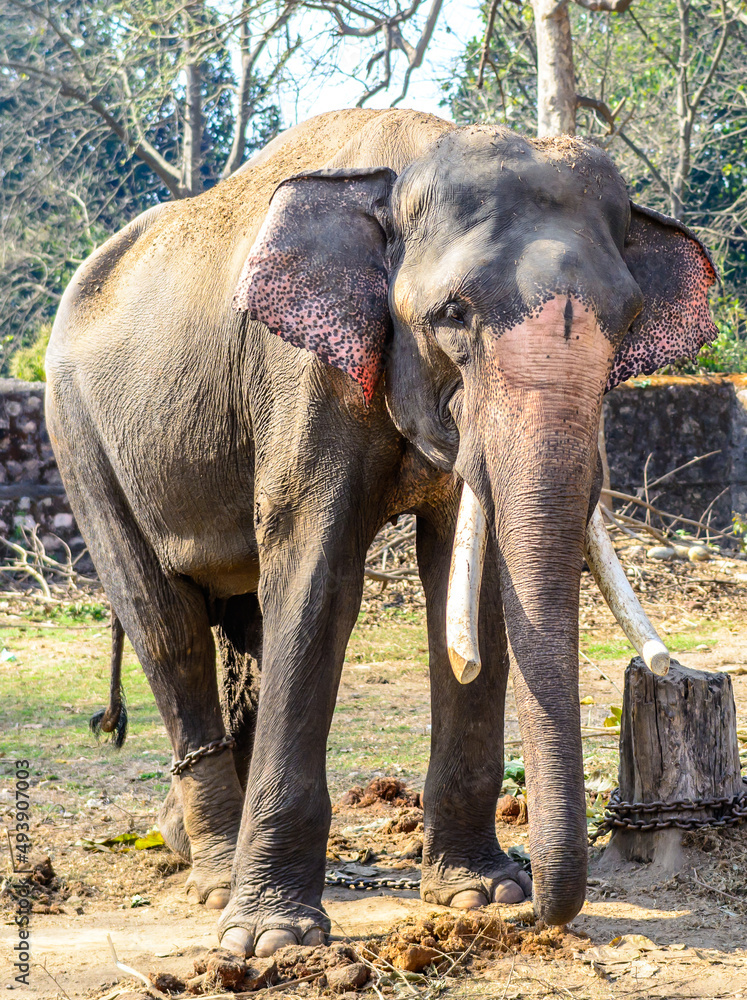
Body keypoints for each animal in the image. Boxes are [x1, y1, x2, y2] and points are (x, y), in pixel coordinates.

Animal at [45, 107, 717, 957]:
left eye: (627, 321)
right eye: (453, 314)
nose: (543, 913)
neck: (417, 156)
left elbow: (470, 584)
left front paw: (479, 894)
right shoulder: (299, 374)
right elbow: (315, 572)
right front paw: (269, 941)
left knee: (242, 627)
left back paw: (193, 846)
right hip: (80, 438)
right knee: (165, 627)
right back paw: (214, 881)